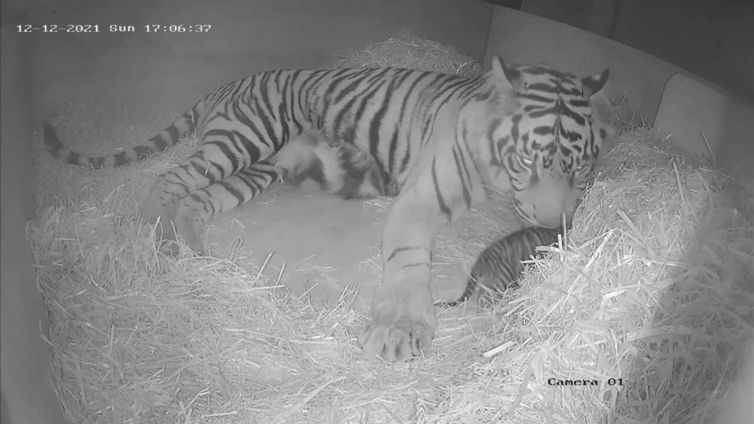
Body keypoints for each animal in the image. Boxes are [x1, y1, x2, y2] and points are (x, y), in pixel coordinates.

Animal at [43, 57, 612, 362]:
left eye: (581, 169)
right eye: (530, 161)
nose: (548, 223)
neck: (495, 172)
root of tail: (225, 85)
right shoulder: (422, 197)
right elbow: (409, 262)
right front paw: (399, 332)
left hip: (260, 168)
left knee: (198, 200)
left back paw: (197, 254)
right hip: (243, 139)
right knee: (170, 179)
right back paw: (152, 240)